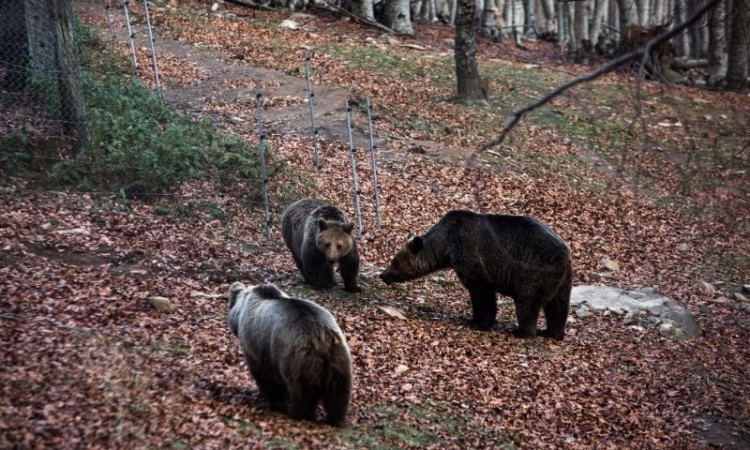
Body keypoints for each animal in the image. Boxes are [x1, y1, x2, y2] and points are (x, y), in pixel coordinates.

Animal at [228, 282, 354, 426]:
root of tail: (321, 337)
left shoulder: (257, 346)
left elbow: (265, 377)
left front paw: (274, 402)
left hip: (297, 359)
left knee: (302, 391)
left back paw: (299, 414)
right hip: (338, 357)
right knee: (338, 392)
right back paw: (335, 419)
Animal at [378, 211, 572, 342]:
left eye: (395, 262)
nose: (383, 275)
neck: (445, 246)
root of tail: (565, 251)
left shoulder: (470, 253)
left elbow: (482, 292)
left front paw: (479, 322)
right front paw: (476, 319)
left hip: (534, 269)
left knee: (528, 301)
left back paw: (522, 332)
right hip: (563, 279)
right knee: (558, 305)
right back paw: (552, 333)